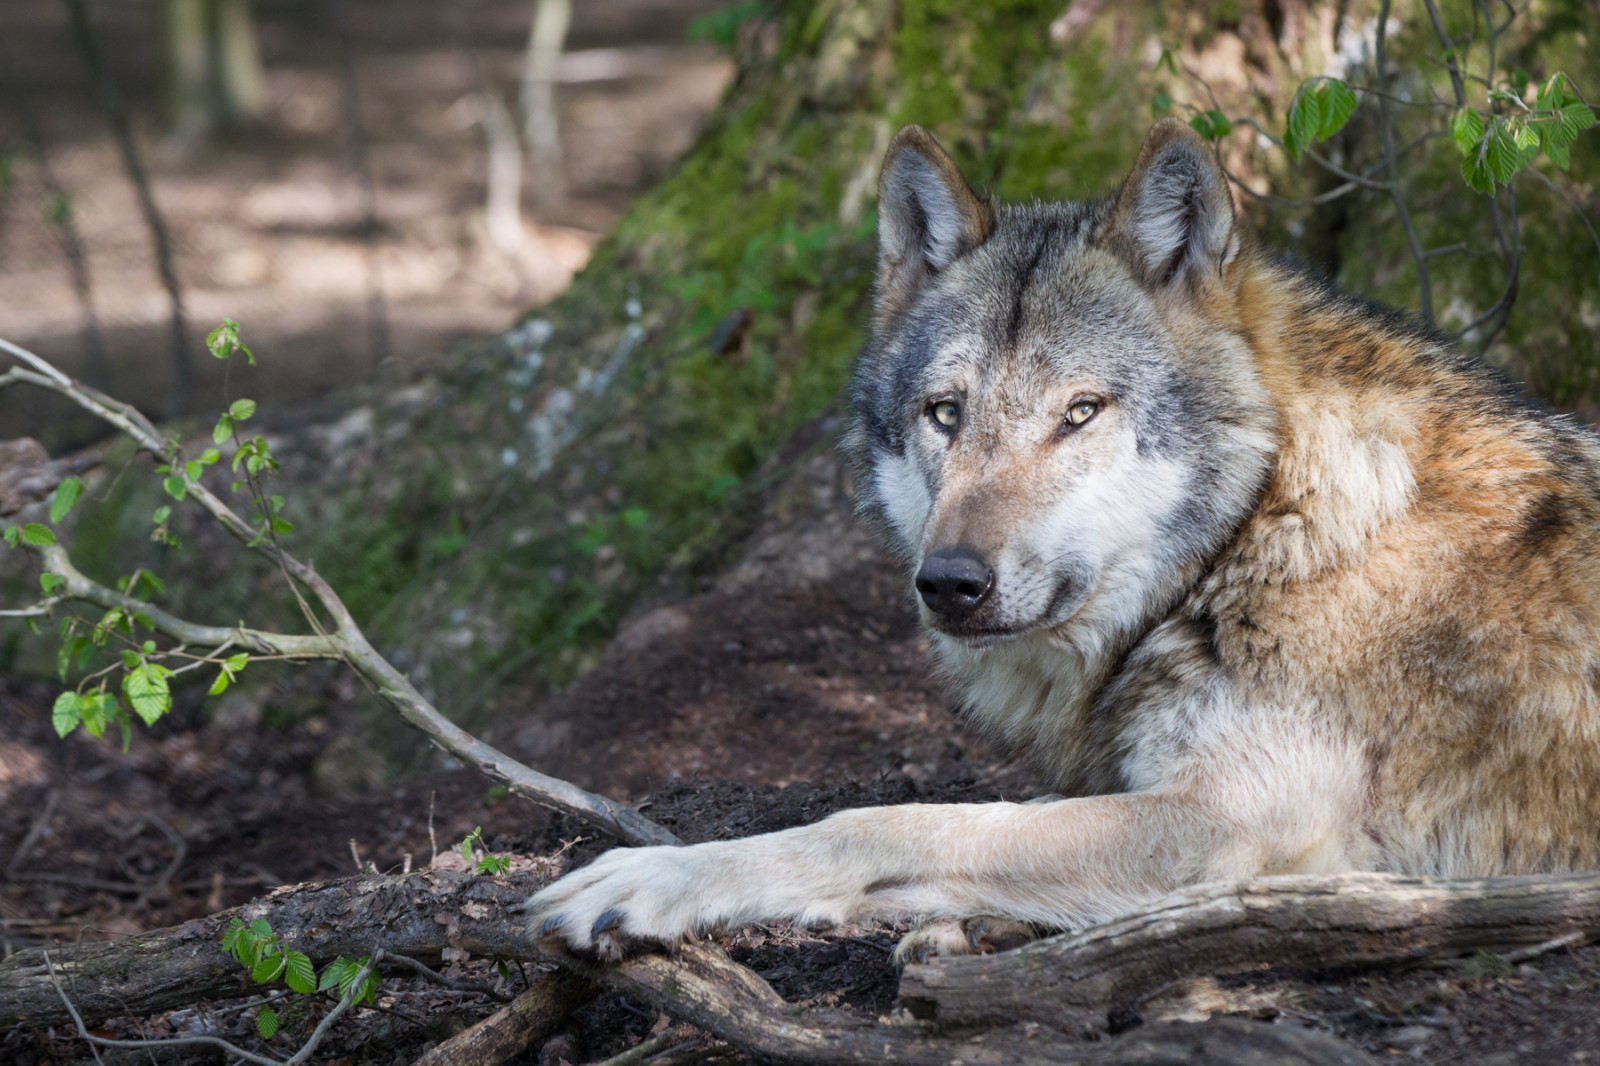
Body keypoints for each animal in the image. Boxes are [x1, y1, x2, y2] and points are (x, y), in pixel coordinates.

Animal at [526, 118, 1600, 964]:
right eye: (946, 413)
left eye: (1079, 412)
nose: (950, 583)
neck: (1261, 532)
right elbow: (981, 826)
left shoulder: (1236, 825)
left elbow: (901, 823)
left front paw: (654, 878)